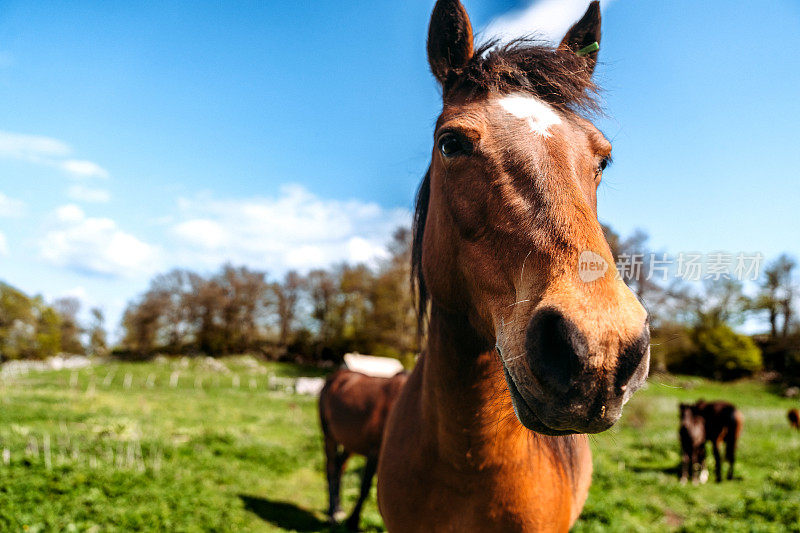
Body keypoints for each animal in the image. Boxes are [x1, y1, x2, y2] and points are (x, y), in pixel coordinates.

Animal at [318, 368, 406, 528]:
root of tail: (336, 376)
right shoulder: (375, 453)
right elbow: (365, 488)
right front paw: (353, 521)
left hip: (350, 443)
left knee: (340, 468)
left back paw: (337, 508)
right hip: (328, 435)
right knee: (331, 468)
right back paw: (332, 512)